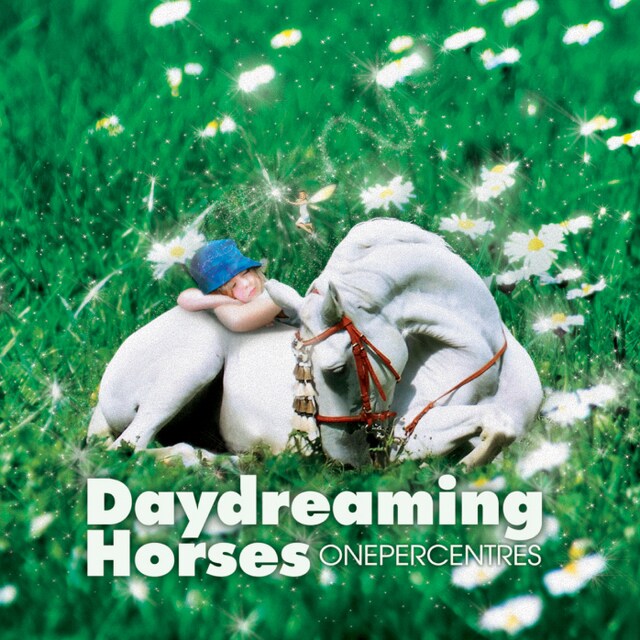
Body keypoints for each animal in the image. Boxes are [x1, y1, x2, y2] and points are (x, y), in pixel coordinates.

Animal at [88, 218, 542, 468]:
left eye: (336, 369)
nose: (348, 466)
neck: (482, 368)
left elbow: (504, 429)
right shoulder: (405, 438)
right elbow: (494, 424)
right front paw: (462, 471)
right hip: (191, 367)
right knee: (127, 448)